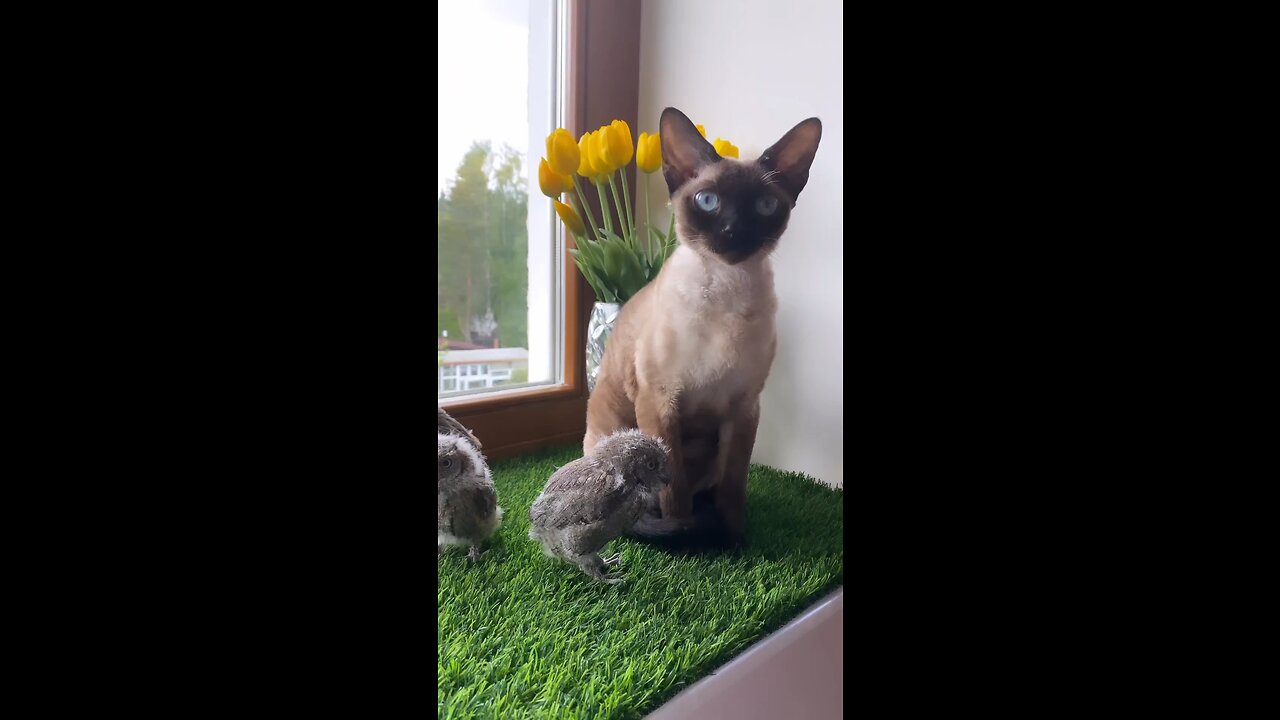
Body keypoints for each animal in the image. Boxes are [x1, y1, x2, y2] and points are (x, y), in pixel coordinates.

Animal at [586, 106, 824, 540]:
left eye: (765, 205)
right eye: (708, 201)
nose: (732, 231)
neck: (727, 291)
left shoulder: (743, 407)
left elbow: (734, 485)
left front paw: (734, 539)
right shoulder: (661, 401)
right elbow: (675, 490)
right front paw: (686, 536)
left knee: (710, 488)